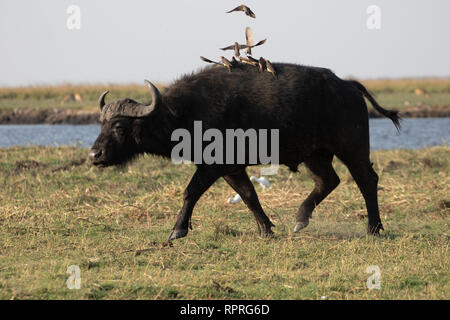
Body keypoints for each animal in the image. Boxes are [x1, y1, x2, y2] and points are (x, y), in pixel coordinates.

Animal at [89, 63, 400, 240]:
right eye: (101, 123)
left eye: (119, 126)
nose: (95, 155)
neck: (185, 113)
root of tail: (349, 86)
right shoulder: (231, 168)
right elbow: (249, 195)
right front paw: (266, 230)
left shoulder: (212, 166)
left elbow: (190, 192)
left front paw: (177, 230)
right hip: (315, 155)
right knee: (328, 181)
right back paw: (300, 220)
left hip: (353, 149)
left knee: (367, 181)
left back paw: (374, 228)